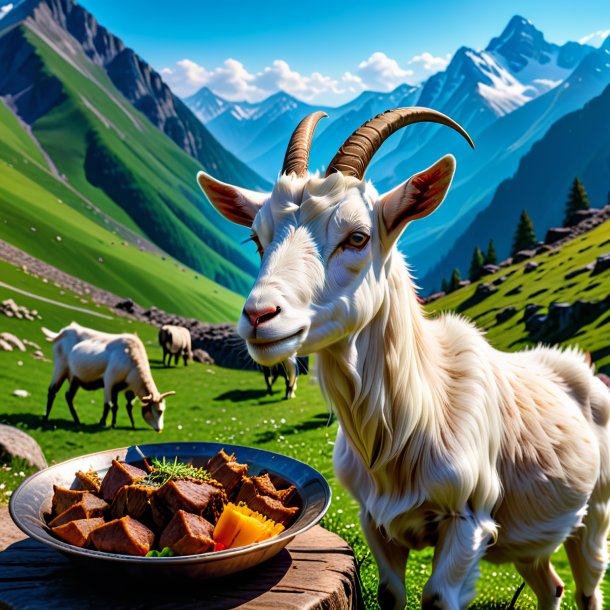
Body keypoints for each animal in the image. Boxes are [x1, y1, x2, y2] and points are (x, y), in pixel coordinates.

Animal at [43, 320, 175, 430]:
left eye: (162, 411)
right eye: (157, 411)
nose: (159, 429)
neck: (133, 359)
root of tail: (63, 331)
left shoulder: (121, 387)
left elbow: (122, 406)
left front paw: (118, 424)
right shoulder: (109, 381)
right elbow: (109, 404)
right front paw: (103, 422)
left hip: (75, 377)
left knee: (69, 396)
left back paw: (77, 420)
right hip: (61, 367)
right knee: (52, 391)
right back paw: (46, 417)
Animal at [198, 109, 608, 608]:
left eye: (357, 237)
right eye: (257, 240)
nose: (259, 316)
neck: (415, 415)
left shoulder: (468, 521)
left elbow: (437, 597)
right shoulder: (374, 521)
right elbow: (391, 593)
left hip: (596, 512)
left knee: (587, 584)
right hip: (530, 538)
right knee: (551, 585)